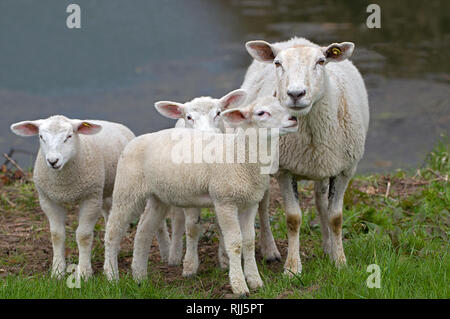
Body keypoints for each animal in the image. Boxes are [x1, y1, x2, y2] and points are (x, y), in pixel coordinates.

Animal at [10, 116, 134, 278]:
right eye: (41, 137)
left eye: (69, 136)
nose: (53, 161)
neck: (64, 185)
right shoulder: (48, 199)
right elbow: (57, 235)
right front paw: (57, 271)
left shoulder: (91, 197)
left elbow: (84, 236)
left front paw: (84, 272)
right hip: (104, 191)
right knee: (108, 215)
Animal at [103, 95, 298, 298]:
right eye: (261, 113)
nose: (293, 119)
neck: (241, 156)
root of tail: (135, 139)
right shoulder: (224, 201)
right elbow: (235, 242)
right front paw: (239, 286)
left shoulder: (250, 202)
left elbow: (249, 241)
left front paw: (255, 281)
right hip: (126, 189)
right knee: (112, 232)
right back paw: (111, 276)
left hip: (158, 196)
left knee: (143, 231)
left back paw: (140, 277)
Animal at [243, 37, 370, 276]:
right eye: (277, 63)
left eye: (321, 61)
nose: (296, 94)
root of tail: (294, 40)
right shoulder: (285, 170)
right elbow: (293, 219)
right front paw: (292, 268)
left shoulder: (345, 169)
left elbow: (335, 217)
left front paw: (340, 260)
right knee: (263, 205)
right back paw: (270, 250)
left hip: (324, 165)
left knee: (320, 202)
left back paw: (328, 246)